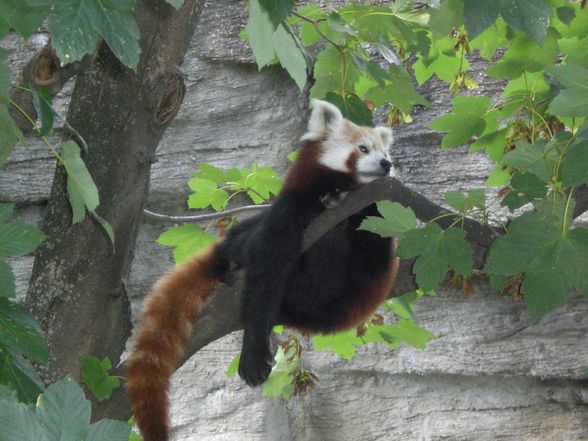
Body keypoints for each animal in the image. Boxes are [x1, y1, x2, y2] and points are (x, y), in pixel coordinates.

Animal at [126, 99, 398, 440]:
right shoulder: (290, 210)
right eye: (363, 148)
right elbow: (265, 276)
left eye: (384, 151)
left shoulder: (378, 229)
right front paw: (254, 354)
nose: (386, 163)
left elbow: (375, 235)